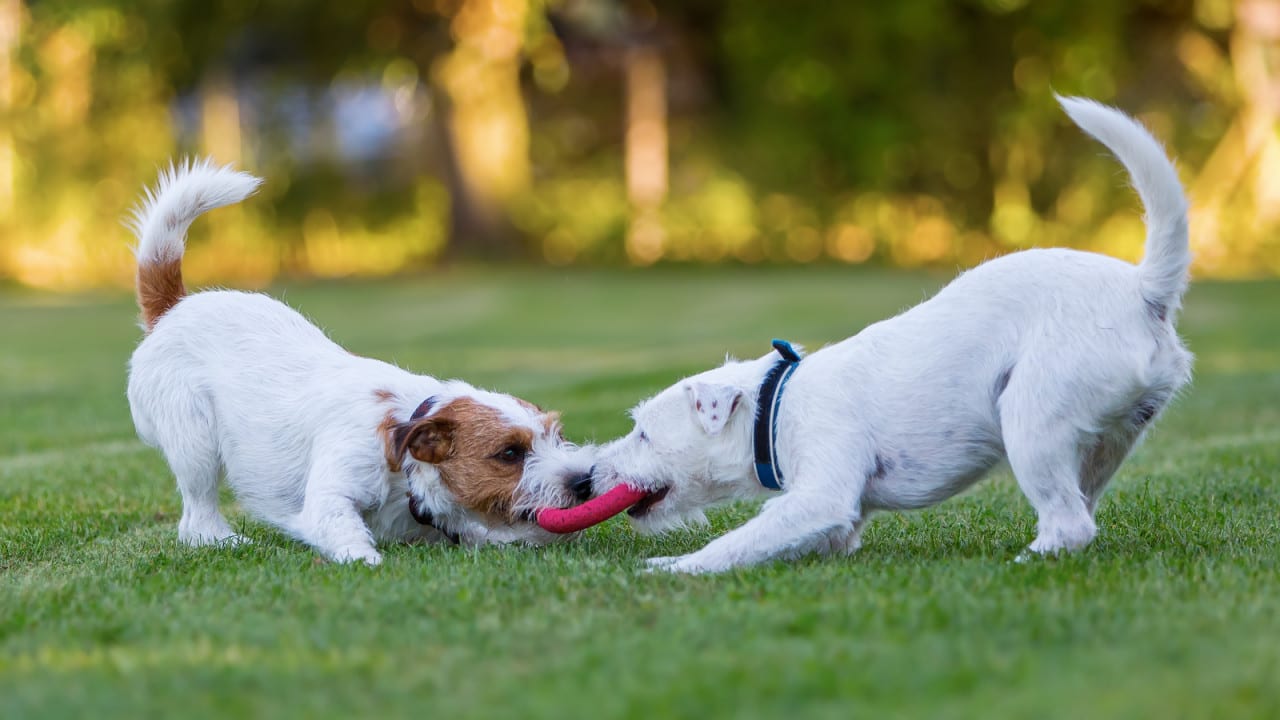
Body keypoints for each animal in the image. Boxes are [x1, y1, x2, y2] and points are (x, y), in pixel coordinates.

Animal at [124, 159, 593, 563]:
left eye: (558, 435)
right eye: (509, 453)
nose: (583, 480)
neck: (404, 449)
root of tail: (173, 307)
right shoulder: (332, 493)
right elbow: (342, 529)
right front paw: (364, 560)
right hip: (196, 445)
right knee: (196, 517)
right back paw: (222, 540)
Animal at [586, 98, 1192, 573]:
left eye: (643, 434)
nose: (589, 476)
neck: (773, 406)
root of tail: (1144, 290)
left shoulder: (821, 495)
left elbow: (736, 542)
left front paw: (673, 567)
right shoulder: (835, 520)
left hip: (1031, 419)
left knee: (1069, 524)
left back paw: (1023, 561)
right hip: (1102, 443)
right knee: (1080, 512)